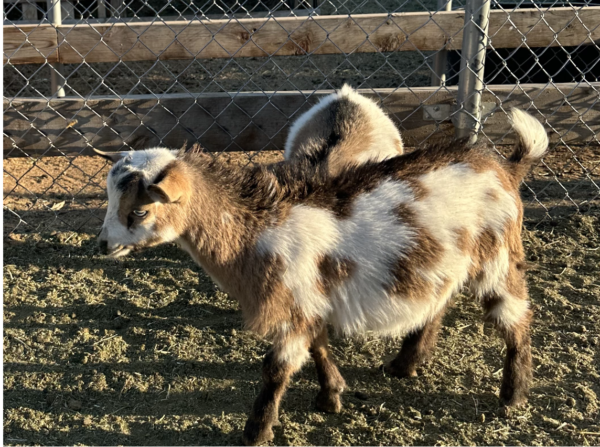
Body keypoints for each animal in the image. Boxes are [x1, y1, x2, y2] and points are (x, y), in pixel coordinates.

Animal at [95, 107, 548, 444]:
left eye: (140, 211)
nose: (103, 245)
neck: (259, 228)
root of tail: (506, 167)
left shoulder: (293, 302)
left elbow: (277, 368)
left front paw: (256, 432)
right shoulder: (309, 300)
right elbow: (318, 346)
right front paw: (331, 396)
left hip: (497, 258)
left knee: (516, 318)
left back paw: (513, 395)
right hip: (442, 263)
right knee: (438, 303)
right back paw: (405, 364)